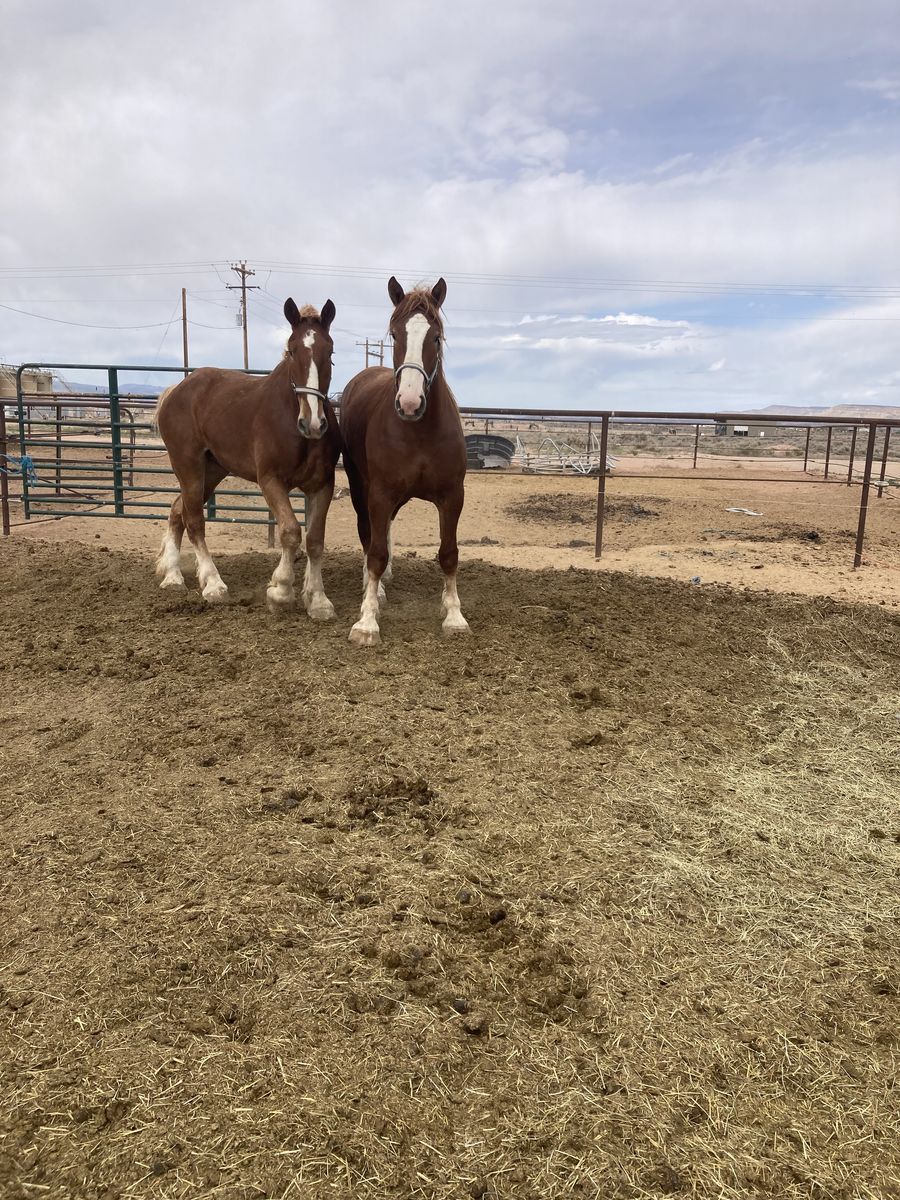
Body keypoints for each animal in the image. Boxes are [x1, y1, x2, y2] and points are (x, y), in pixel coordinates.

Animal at [153, 298, 341, 617]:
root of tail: (175, 391)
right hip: (188, 467)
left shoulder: (322, 485)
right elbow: (290, 531)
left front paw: (318, 600)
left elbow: (315, 540)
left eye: (329, 351)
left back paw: (173, 576)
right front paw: (280, 591)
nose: (313, 423)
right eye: (292, 350)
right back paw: (213, 584)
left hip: (212, 471)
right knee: (194, 520)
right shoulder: (271, 481)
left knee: (177, 511)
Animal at [340, 276, 470, 646]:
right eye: (395, 335)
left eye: (436, 336)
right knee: (368, 534)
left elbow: (448, 553)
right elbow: (376, 553)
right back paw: (376, 590)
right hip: (360, 487)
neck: (418, 430)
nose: (410, 403)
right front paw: (367, 621)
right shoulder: (380, 493)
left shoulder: (452, 496)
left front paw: (453, 614)